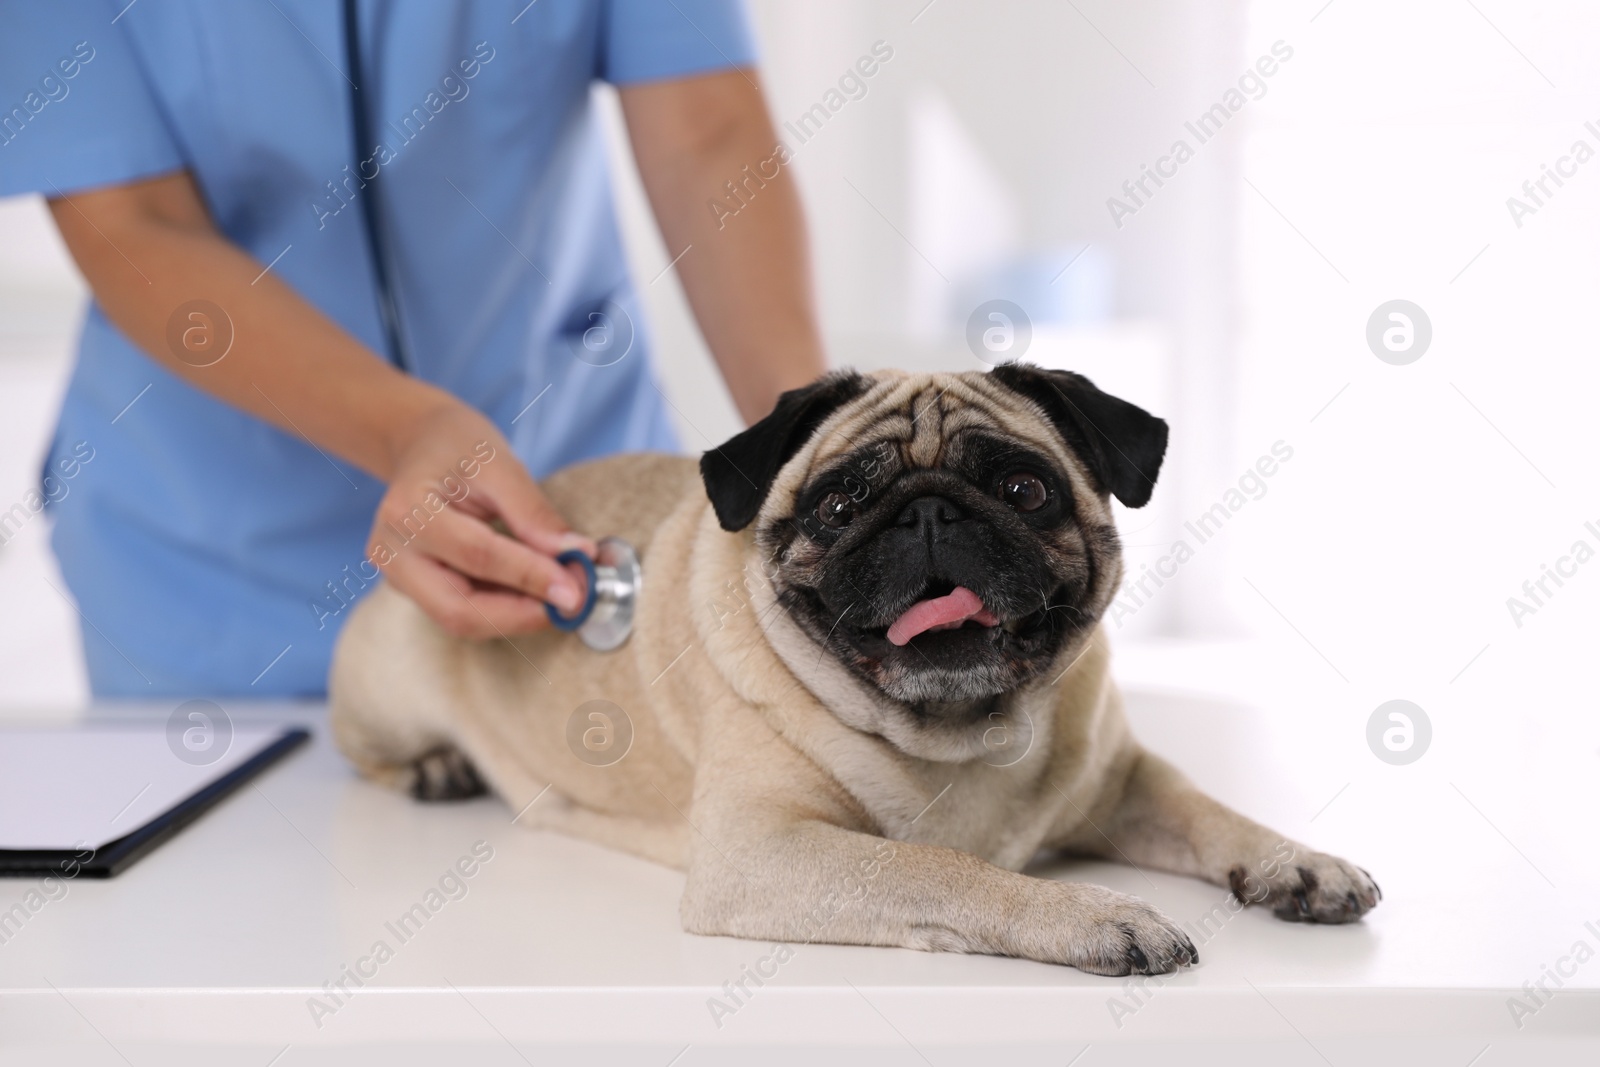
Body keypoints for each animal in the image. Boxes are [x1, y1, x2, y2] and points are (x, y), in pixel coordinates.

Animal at [331, 364, 1382, 979]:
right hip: (391, 675)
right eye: (839, 505)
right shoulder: (761, 850)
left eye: (1023, 487)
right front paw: (1091, 910)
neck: (968, 735)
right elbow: (938, 865)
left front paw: (1297, 860)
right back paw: (434, 768)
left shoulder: (1125, 781)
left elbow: (1210, 810)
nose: (929, 511)